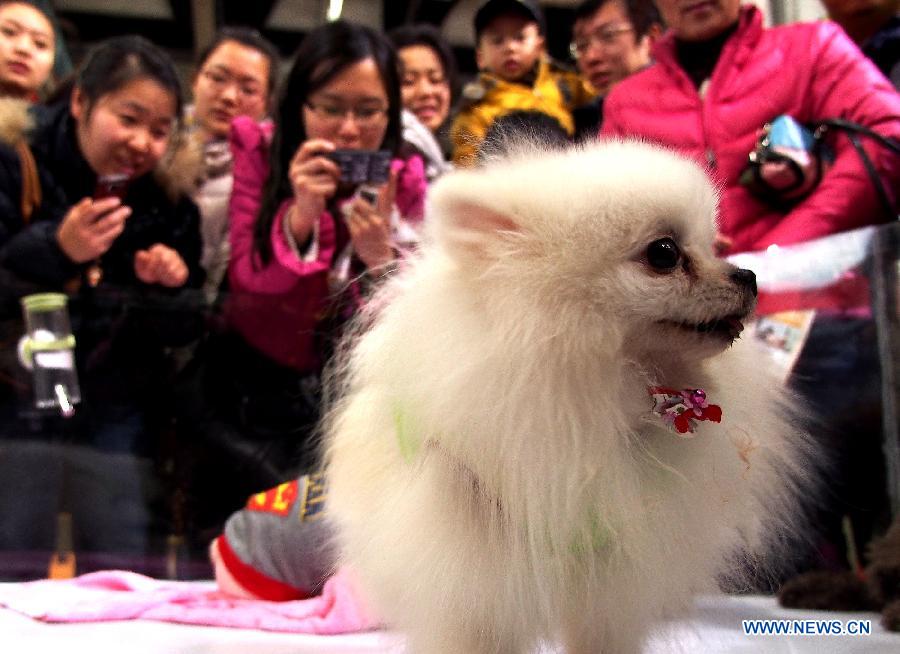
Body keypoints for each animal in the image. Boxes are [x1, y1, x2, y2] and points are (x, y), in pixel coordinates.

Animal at [326, 141, 816, 652]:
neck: (602, 392)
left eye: (714, 245)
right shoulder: (473, 578)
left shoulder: (609, 579)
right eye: (664, 253)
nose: (749, 275)